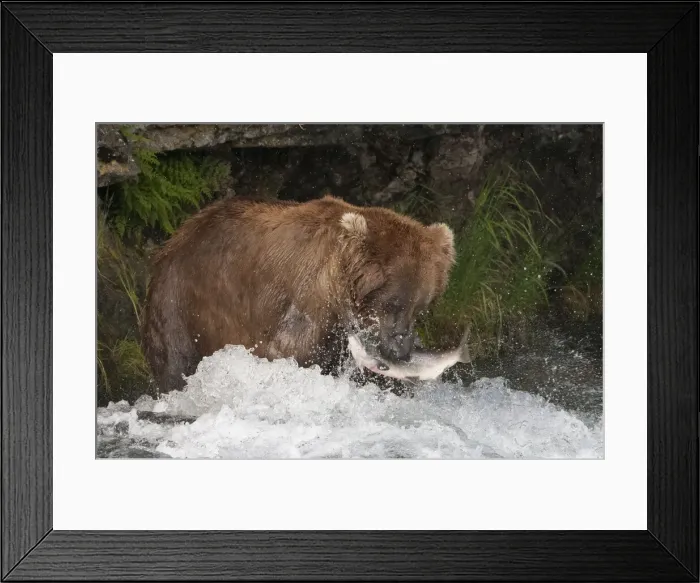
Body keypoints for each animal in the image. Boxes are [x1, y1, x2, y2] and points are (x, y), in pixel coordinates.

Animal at [141, 195, 456, 394]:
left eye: (421, 307)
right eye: (391, 304)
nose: (400, 351)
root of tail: (178, 234)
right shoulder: (306, 301)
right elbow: (286, 352)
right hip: (180, 301)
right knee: (175, 360)